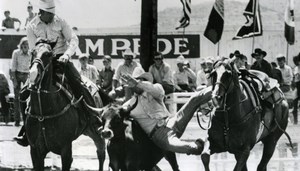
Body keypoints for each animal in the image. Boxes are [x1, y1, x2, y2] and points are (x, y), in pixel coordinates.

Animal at [25, 41, 108, 171]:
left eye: (48, 54)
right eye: (32, 52)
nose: (34, 74)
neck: (43, 113)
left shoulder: (66, 150)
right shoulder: (35, 152)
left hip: (96, 132)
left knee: (101, 153)